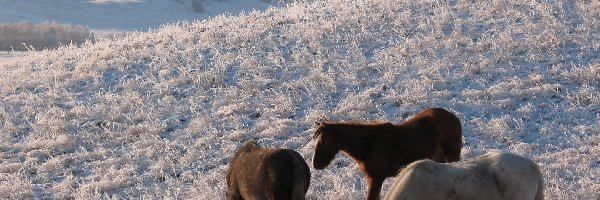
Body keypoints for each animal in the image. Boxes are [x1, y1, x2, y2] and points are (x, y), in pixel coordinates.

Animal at [312, 108, 462, 200]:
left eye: (324, 141)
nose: (316, 164)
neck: (369, 145)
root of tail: (454, 117)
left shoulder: (376, 179)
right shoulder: (372, 179)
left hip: (452, 154)